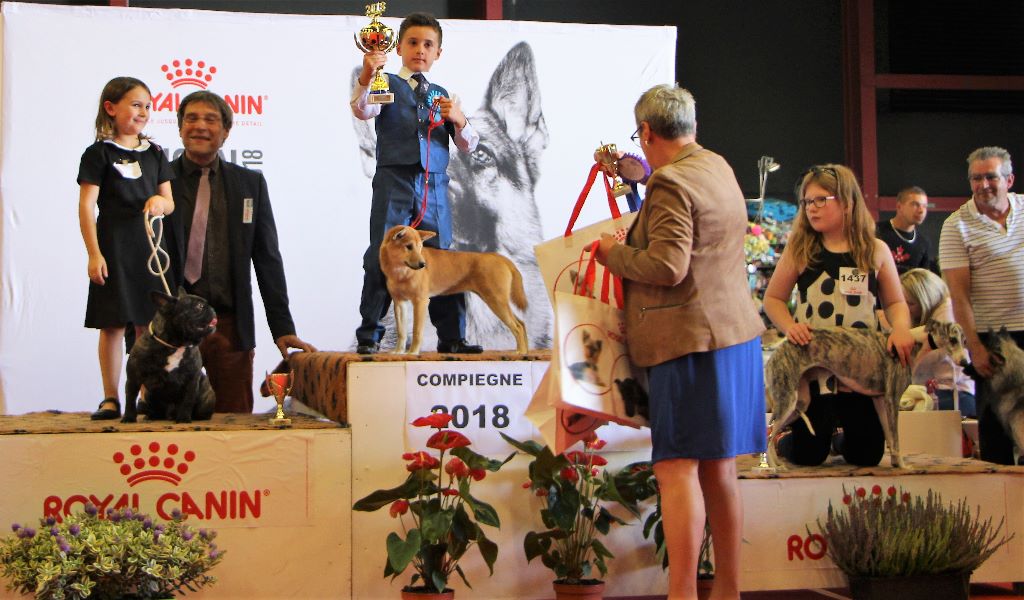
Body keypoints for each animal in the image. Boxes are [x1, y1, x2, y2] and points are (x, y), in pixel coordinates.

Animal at [123, 288, 220, 419]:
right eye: (199, 306)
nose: (213, 309)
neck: (176, 345)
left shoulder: (191, 378)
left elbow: (188, 400)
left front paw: (184, 418)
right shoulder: (133, 377)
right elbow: (130, 398)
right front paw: (128, 417)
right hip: (148, 396)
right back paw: (151, 416)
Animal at [380, 225, 532, 354]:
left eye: (420, 247)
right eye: (409, 246)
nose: (423, 264)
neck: (401, 272)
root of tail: (500, 258)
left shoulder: (420, 301)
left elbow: (417, 331)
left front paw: (412, 353)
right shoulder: (399, 303)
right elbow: (401, 332)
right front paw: (398, 352)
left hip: (496, 301)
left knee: (518, 326)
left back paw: (520, 352)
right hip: (498, 301)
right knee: (522, 323)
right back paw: (525, 351)